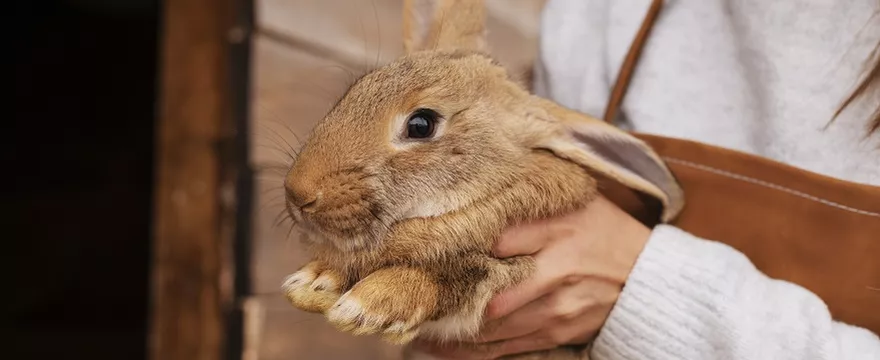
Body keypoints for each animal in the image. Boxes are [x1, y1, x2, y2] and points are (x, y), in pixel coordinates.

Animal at [278, 0, 684, 358]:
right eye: (356, 90)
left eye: (421, 124)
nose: (298, 193)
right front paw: (315, 280)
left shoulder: (508, 269)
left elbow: (458, 275)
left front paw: (371, 304)